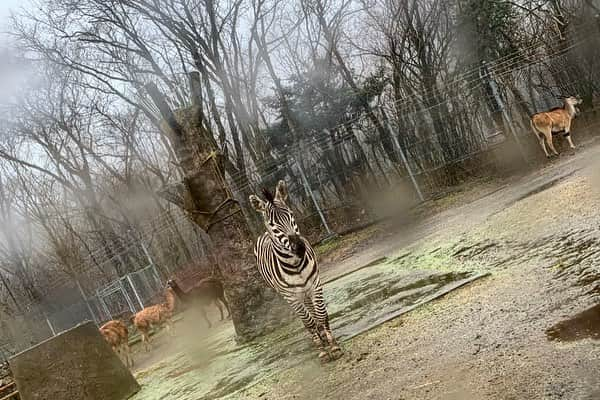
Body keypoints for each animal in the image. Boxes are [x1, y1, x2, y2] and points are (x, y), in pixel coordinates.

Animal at [248, 180, 342, 360]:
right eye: (273, 225)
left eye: (291, 215)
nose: (299, 247)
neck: (295, 264)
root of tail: (263, 234)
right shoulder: (291, 296)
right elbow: (308, 321)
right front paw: (322, 350)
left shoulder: (315, 285)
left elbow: (321, 314)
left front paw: (333, 345)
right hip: (288, 294)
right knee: (307, 317)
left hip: (305, 290)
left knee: (313, 310)